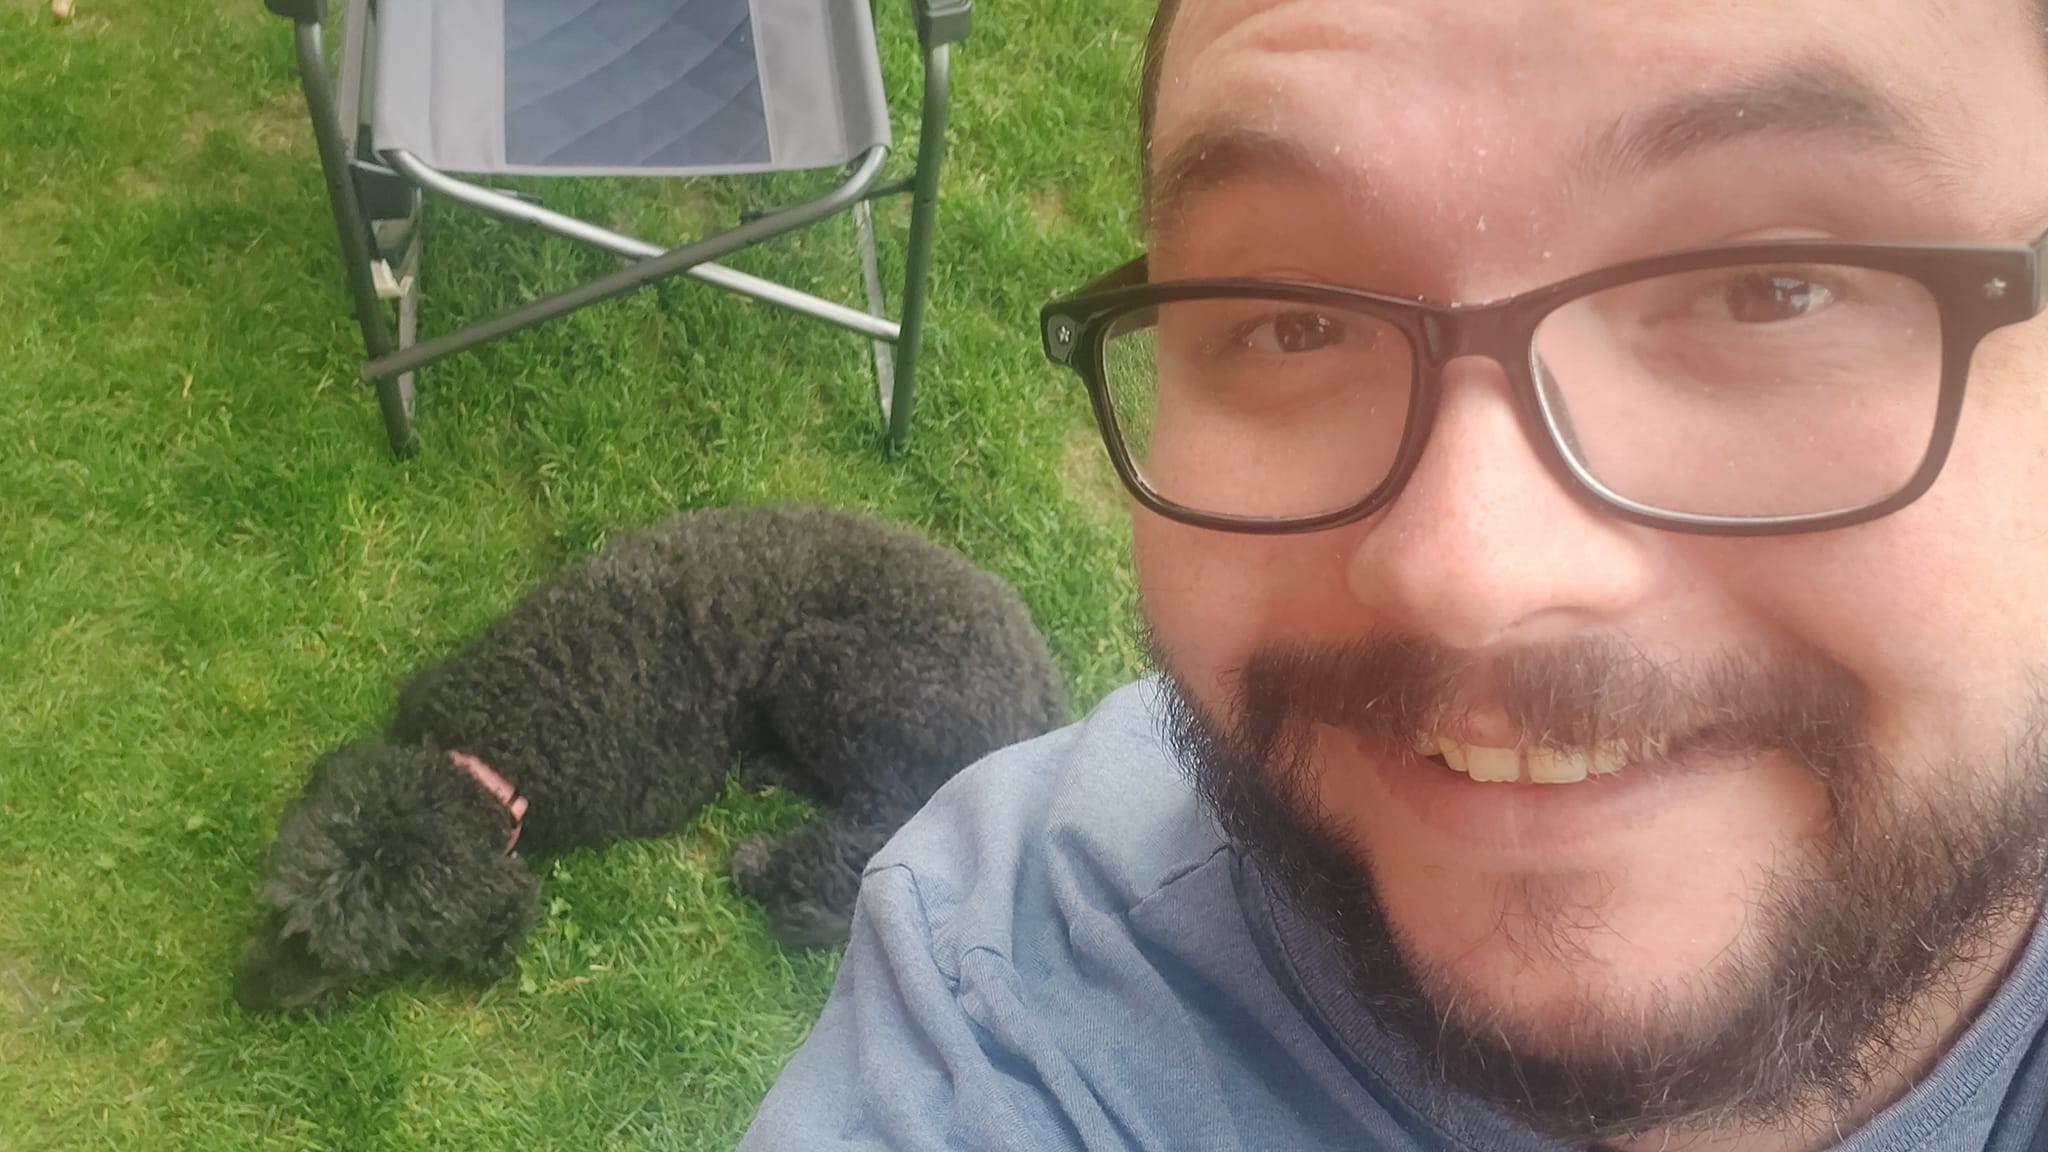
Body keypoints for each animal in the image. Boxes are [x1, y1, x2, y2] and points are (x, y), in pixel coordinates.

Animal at [235, 506, 1073, 1008]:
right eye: (281, 914)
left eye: (349, 956)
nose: (247, 994)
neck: (506, 734)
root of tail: (1047, 700)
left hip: (836, 673)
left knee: (878, 828)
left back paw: (771, 862)